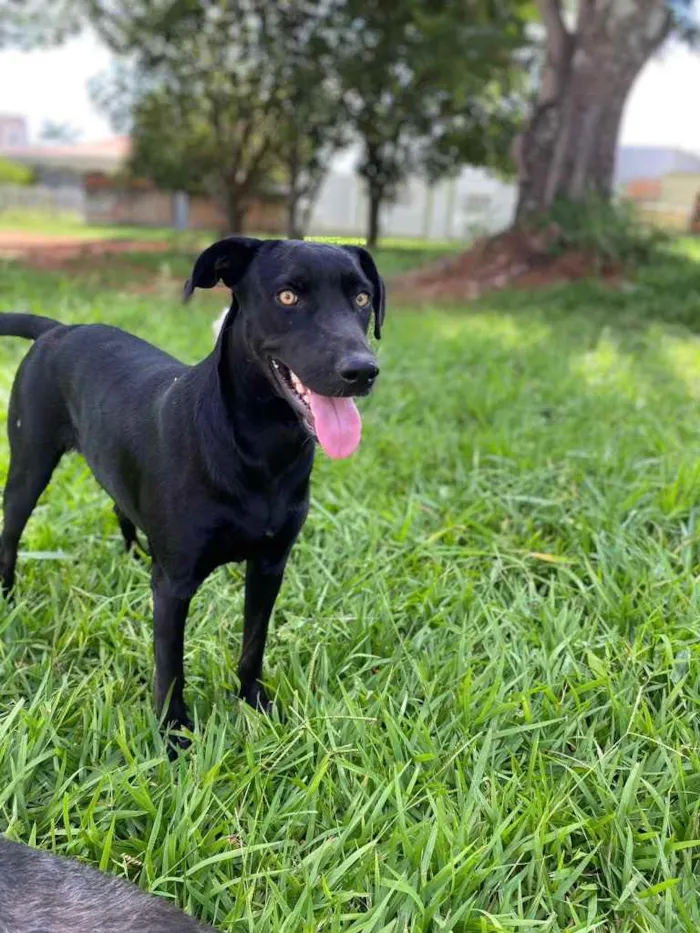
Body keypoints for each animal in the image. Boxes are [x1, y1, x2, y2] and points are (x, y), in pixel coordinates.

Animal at [0, 237, 382, 748]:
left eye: (361, 298)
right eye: (287, 296)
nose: (362, 371)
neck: (259, 451)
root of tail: (58, 329)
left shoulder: (270, 565)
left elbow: (253, 644)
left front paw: (255, 705)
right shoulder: (175, 586)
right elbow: (170, 667)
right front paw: (174, 735)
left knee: (121, 508)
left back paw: (133, 559)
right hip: (29, 467)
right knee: (11, 532)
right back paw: (7, 597)